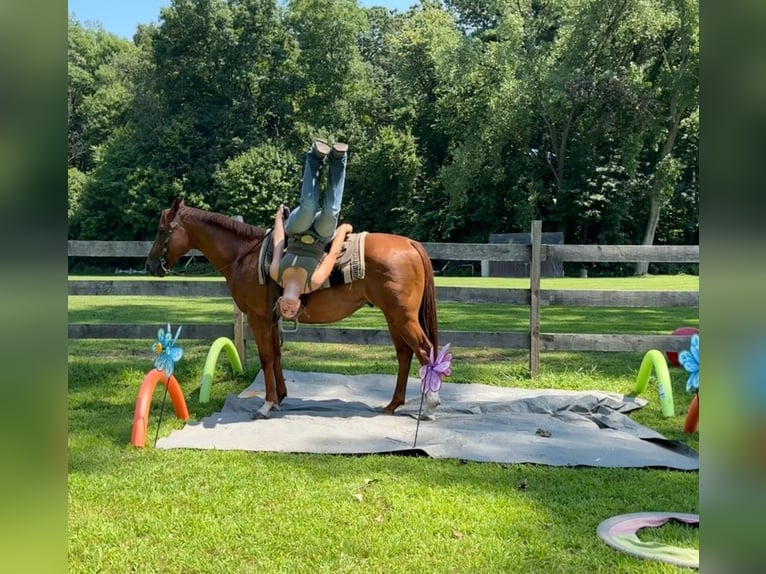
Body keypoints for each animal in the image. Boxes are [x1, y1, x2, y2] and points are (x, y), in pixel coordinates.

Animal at [146, 200, 444, 420]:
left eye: (161, 230)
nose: (150, 265)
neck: (245, 255)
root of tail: (409, 244)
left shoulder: (258, 318)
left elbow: (266, 357)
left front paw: (266, 404)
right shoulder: (271, 318)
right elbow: (276, 355)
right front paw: (280, 397)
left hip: (403, 317)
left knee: (424, 350)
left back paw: (429, 407)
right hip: (394, 317)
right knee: (405, 354)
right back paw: (393, 405)